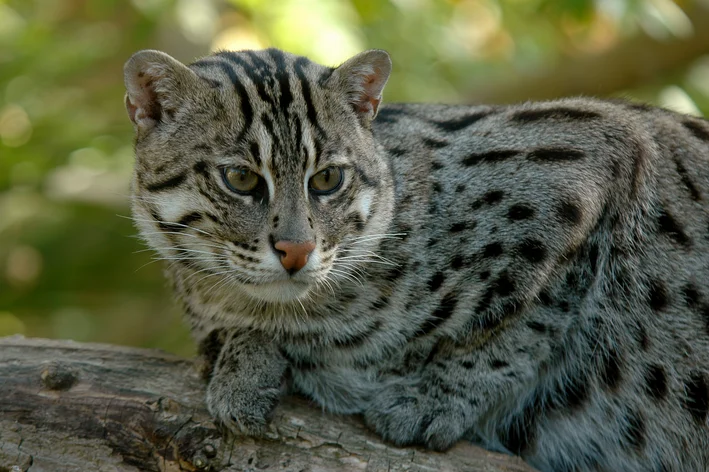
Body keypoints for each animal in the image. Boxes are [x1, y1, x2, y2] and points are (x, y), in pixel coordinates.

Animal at [123, 48, 708, 472]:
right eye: (241, 179)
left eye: (327, 179)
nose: (297, 251)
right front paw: (243, 366)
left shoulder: (603, 151)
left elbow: (531, 318)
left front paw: (436, 397)